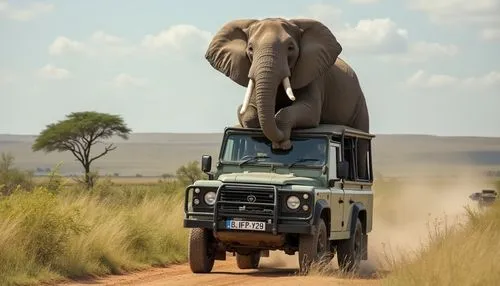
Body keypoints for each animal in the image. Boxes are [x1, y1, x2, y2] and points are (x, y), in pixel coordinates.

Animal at [204, 17, 372, 180]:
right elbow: (248, 113)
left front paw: (282, 143)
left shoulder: (313, 73)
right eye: (250, 49)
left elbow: (310, 112)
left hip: (360, 105)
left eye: (291, 48)